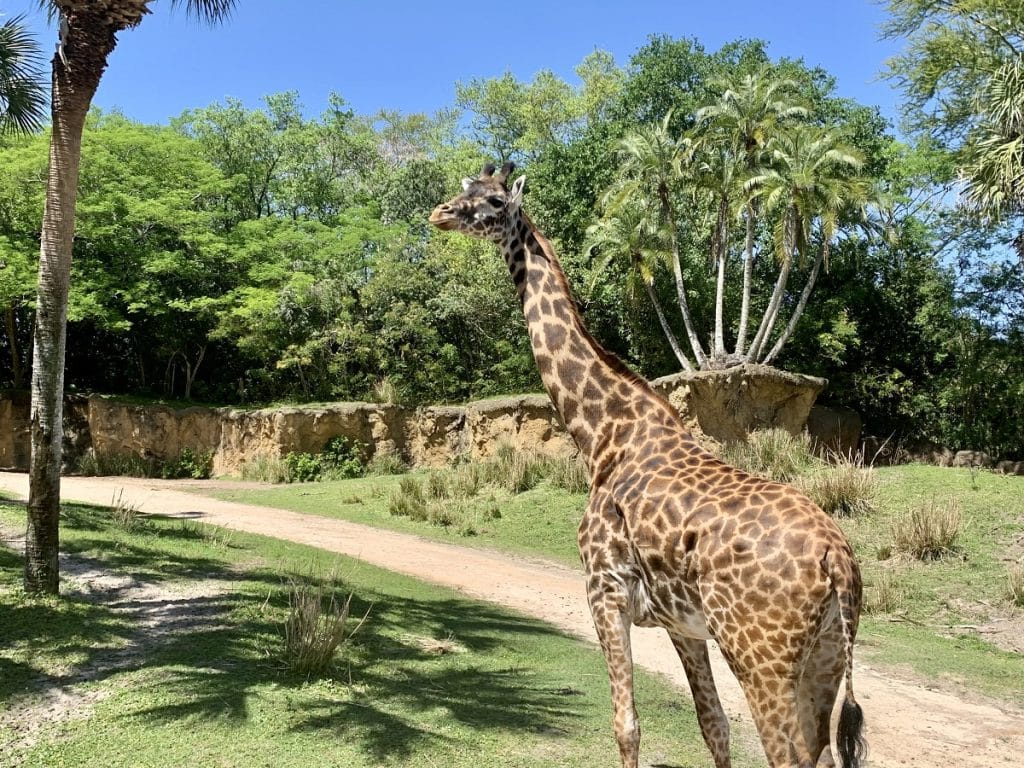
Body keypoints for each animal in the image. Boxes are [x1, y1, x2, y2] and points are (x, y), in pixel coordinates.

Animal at [428, 162, 868, 768]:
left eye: (493, 200)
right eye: (464, 188)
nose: (440, 212)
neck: (602, 433)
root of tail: (836, 560)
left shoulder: (604, 592)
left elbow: (626, 726)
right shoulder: (683, 624)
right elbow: (713, 727)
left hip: (762, 656)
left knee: (790, 755)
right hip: (826, 655)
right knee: (820, 752)